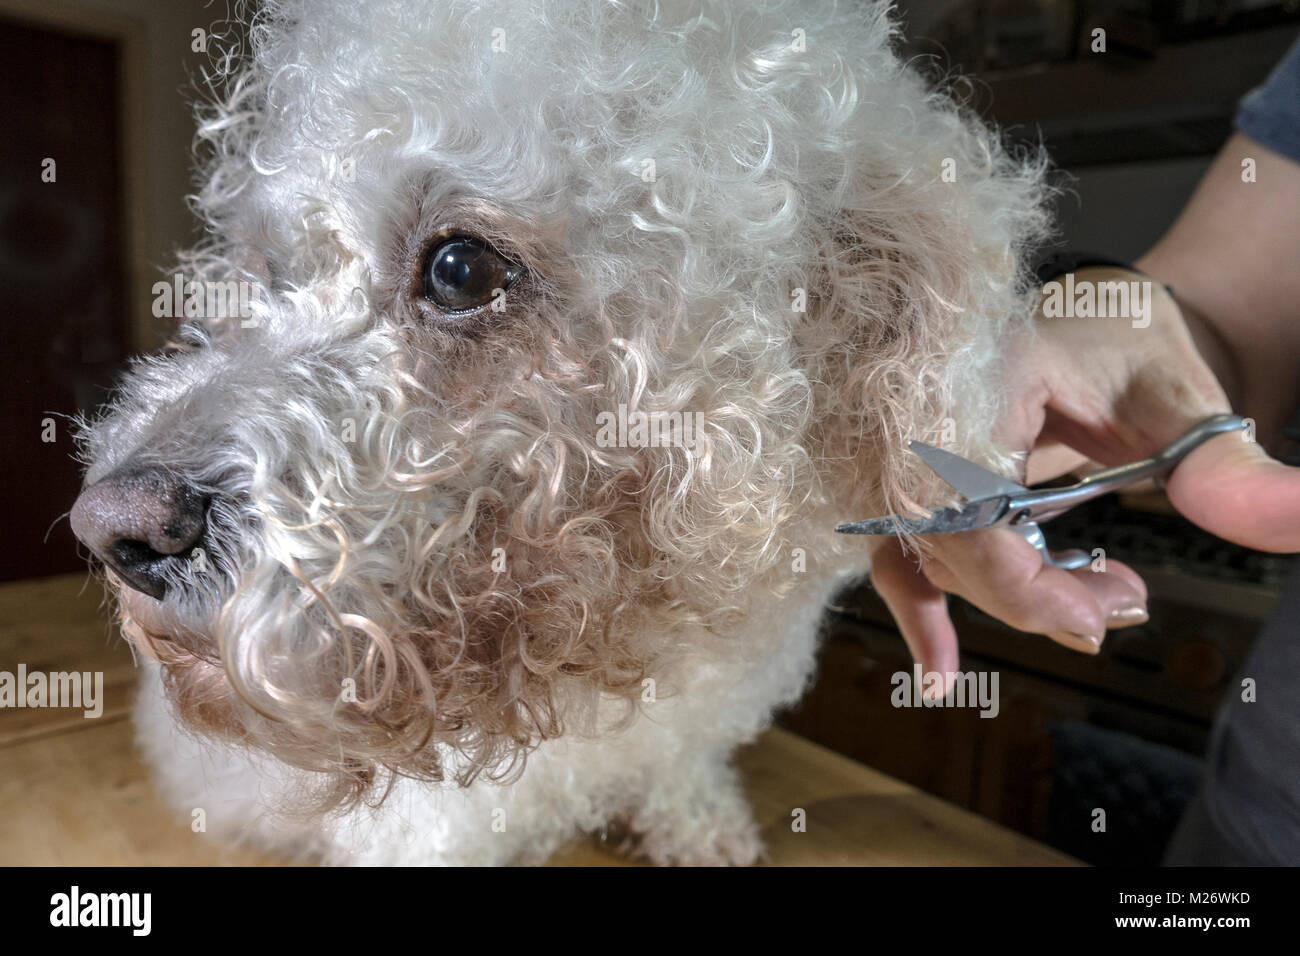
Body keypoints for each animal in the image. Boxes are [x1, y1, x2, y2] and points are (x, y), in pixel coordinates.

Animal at [68, 0, 1045, 868]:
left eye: (459, 268)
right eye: (272, 279)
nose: (114, 528)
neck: (607, 627)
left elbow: (681, 766)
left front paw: (698, 825)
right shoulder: (427, 833)